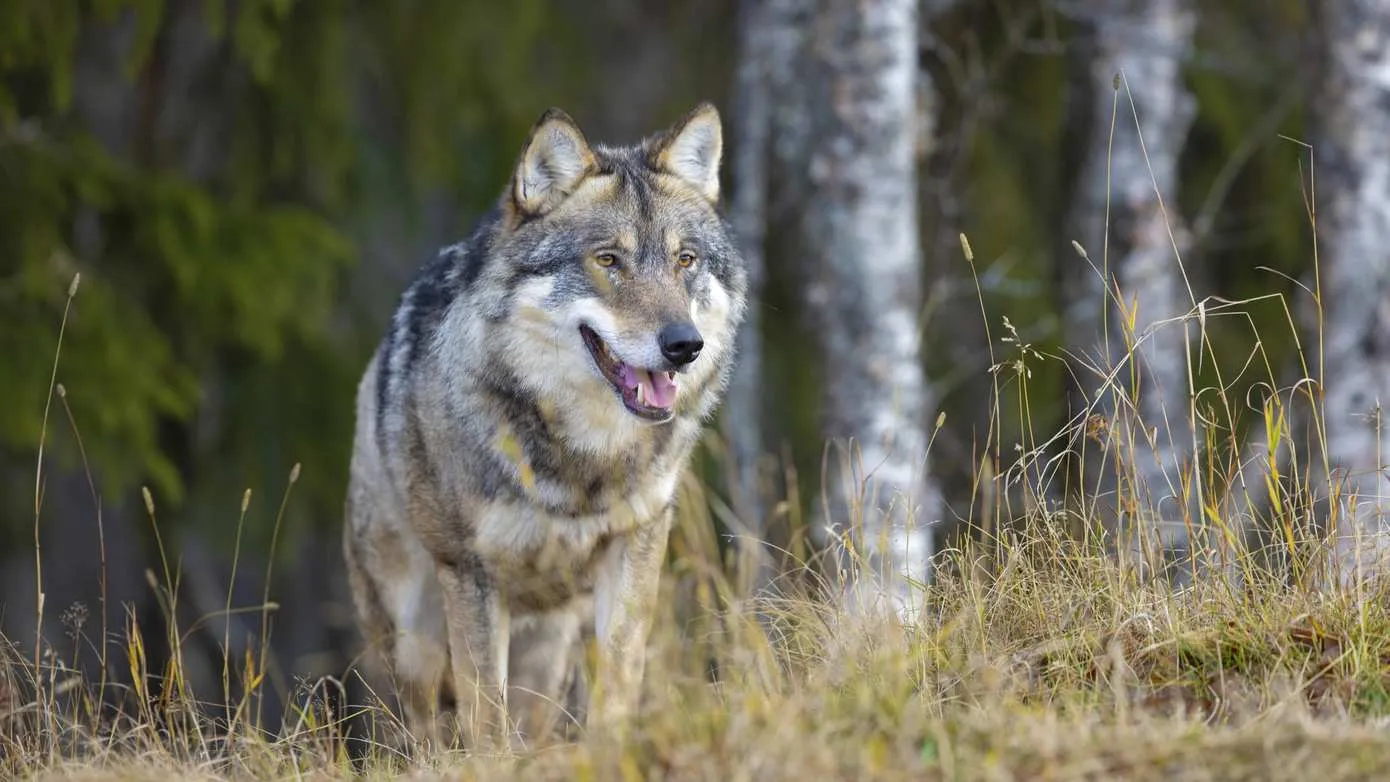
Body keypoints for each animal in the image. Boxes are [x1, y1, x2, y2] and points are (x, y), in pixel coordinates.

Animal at [342, 102, 747, 751]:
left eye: (685, 260)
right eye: (608, 260)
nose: (685, 345)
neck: (583, 460)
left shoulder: (636, 546)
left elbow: (620, 675)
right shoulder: (471, 574)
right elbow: (485, 714)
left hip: (547, 652)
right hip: (412, 638)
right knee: (419, 728)